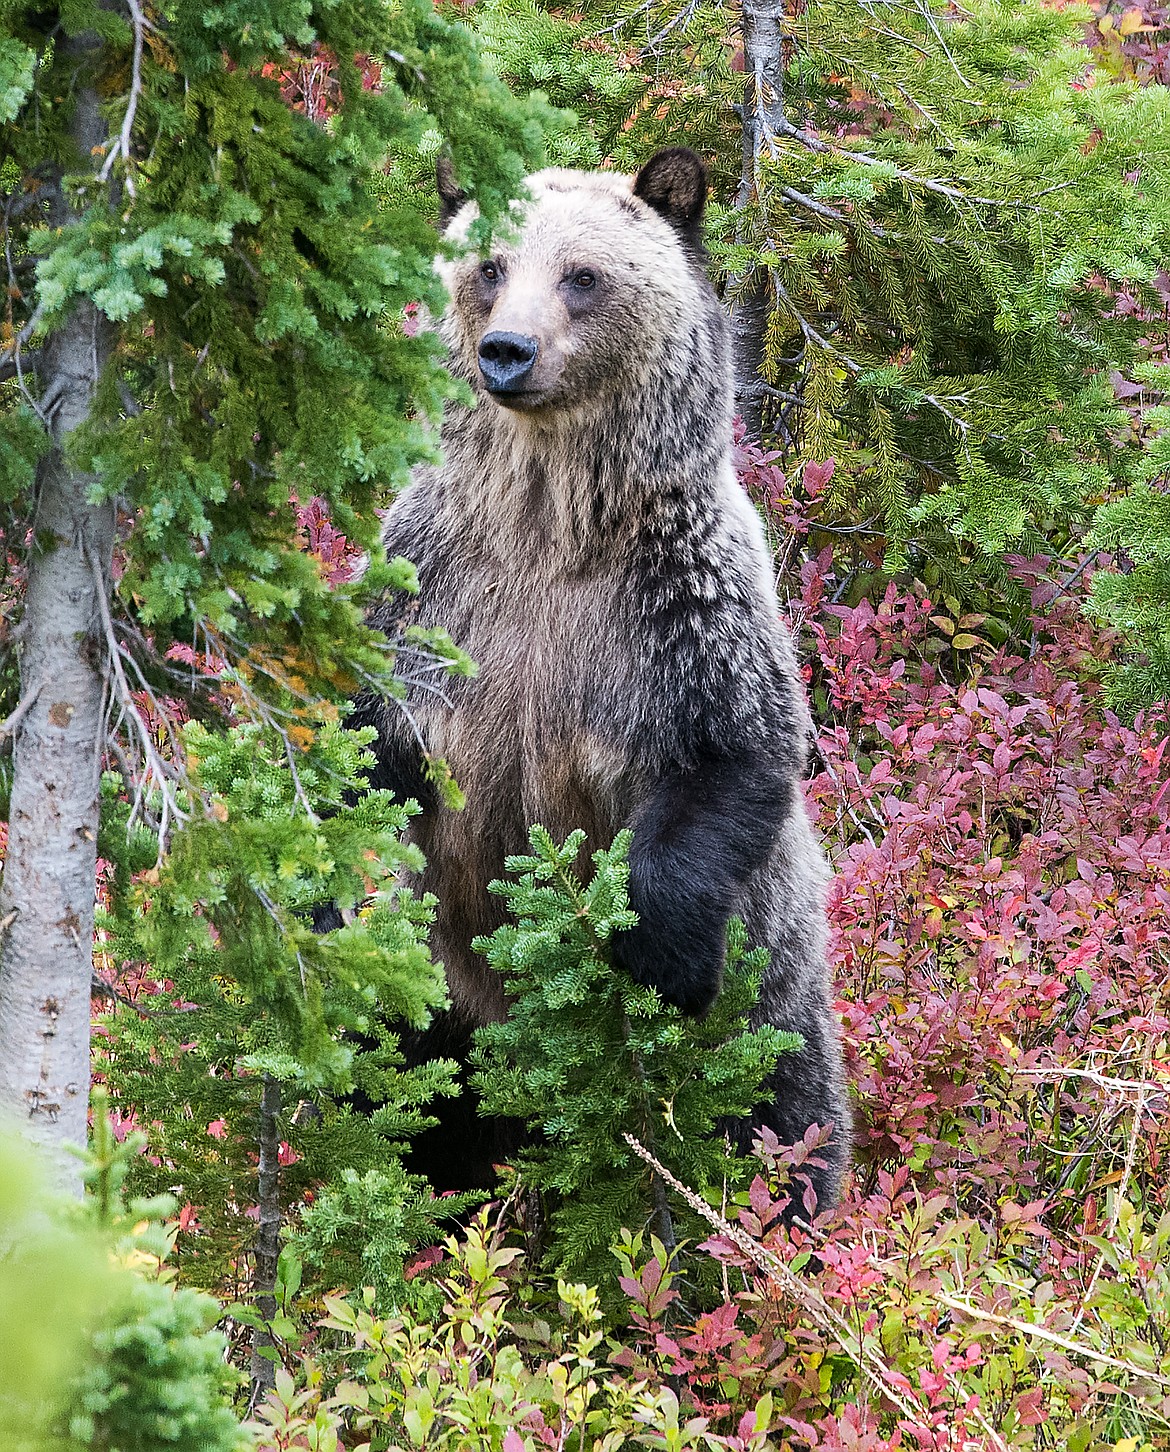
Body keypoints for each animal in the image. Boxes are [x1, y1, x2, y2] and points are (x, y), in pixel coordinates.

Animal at [352, 147, 847, 1213]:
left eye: (582, 275)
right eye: (489, 266)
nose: (506, 351)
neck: (547, 524)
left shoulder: (676, 610)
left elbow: (734, 754)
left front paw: (658, 954)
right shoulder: (429, 592)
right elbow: (366, 749)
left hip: (778, 990)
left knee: (783, 1109)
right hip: (450, 1006)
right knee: (409, 1093)